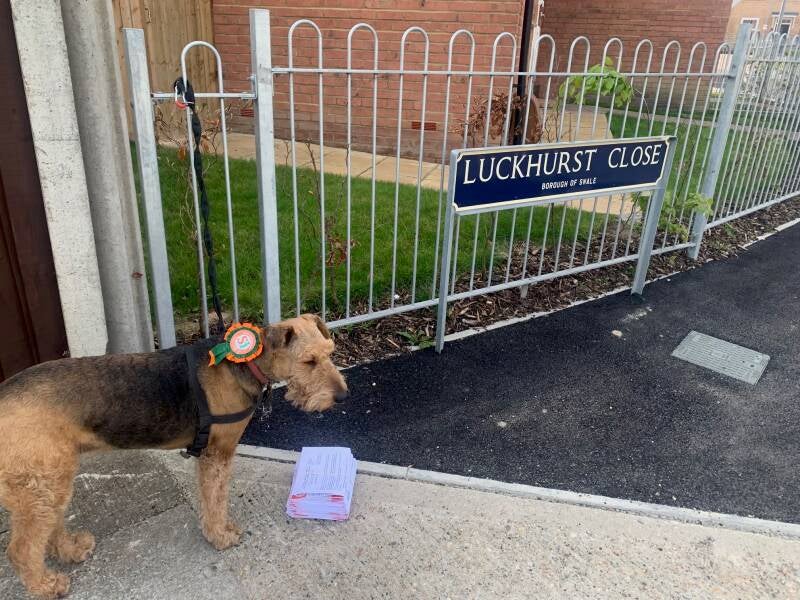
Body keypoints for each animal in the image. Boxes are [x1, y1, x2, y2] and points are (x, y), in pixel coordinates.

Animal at [0, 314, 348, 598]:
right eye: (309, 361)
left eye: (330, 353)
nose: (343, 396)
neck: (244, 365)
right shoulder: (217, 453)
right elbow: (216, 500)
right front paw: (221, 536)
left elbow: (210, 499)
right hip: (42, 484)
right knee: (21, 549)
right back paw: (48, 585)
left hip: (50, 482)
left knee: (48, 531)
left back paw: (71, 549)